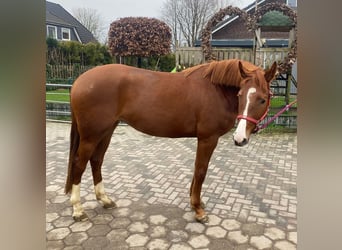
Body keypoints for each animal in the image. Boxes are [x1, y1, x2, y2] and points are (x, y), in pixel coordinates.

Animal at [65, 59, 278, 223]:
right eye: (240, 95)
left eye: (262, 99)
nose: (240, 138)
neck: (216, 90)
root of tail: (80, 81)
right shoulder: (208, 138)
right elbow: (201, 171)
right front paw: (198, 210)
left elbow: (196, 170)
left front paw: (195, 202)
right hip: (91, 135)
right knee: (79, 164)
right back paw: (78, 210)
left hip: (107, 130)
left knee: (96, 160)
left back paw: (105, 200)